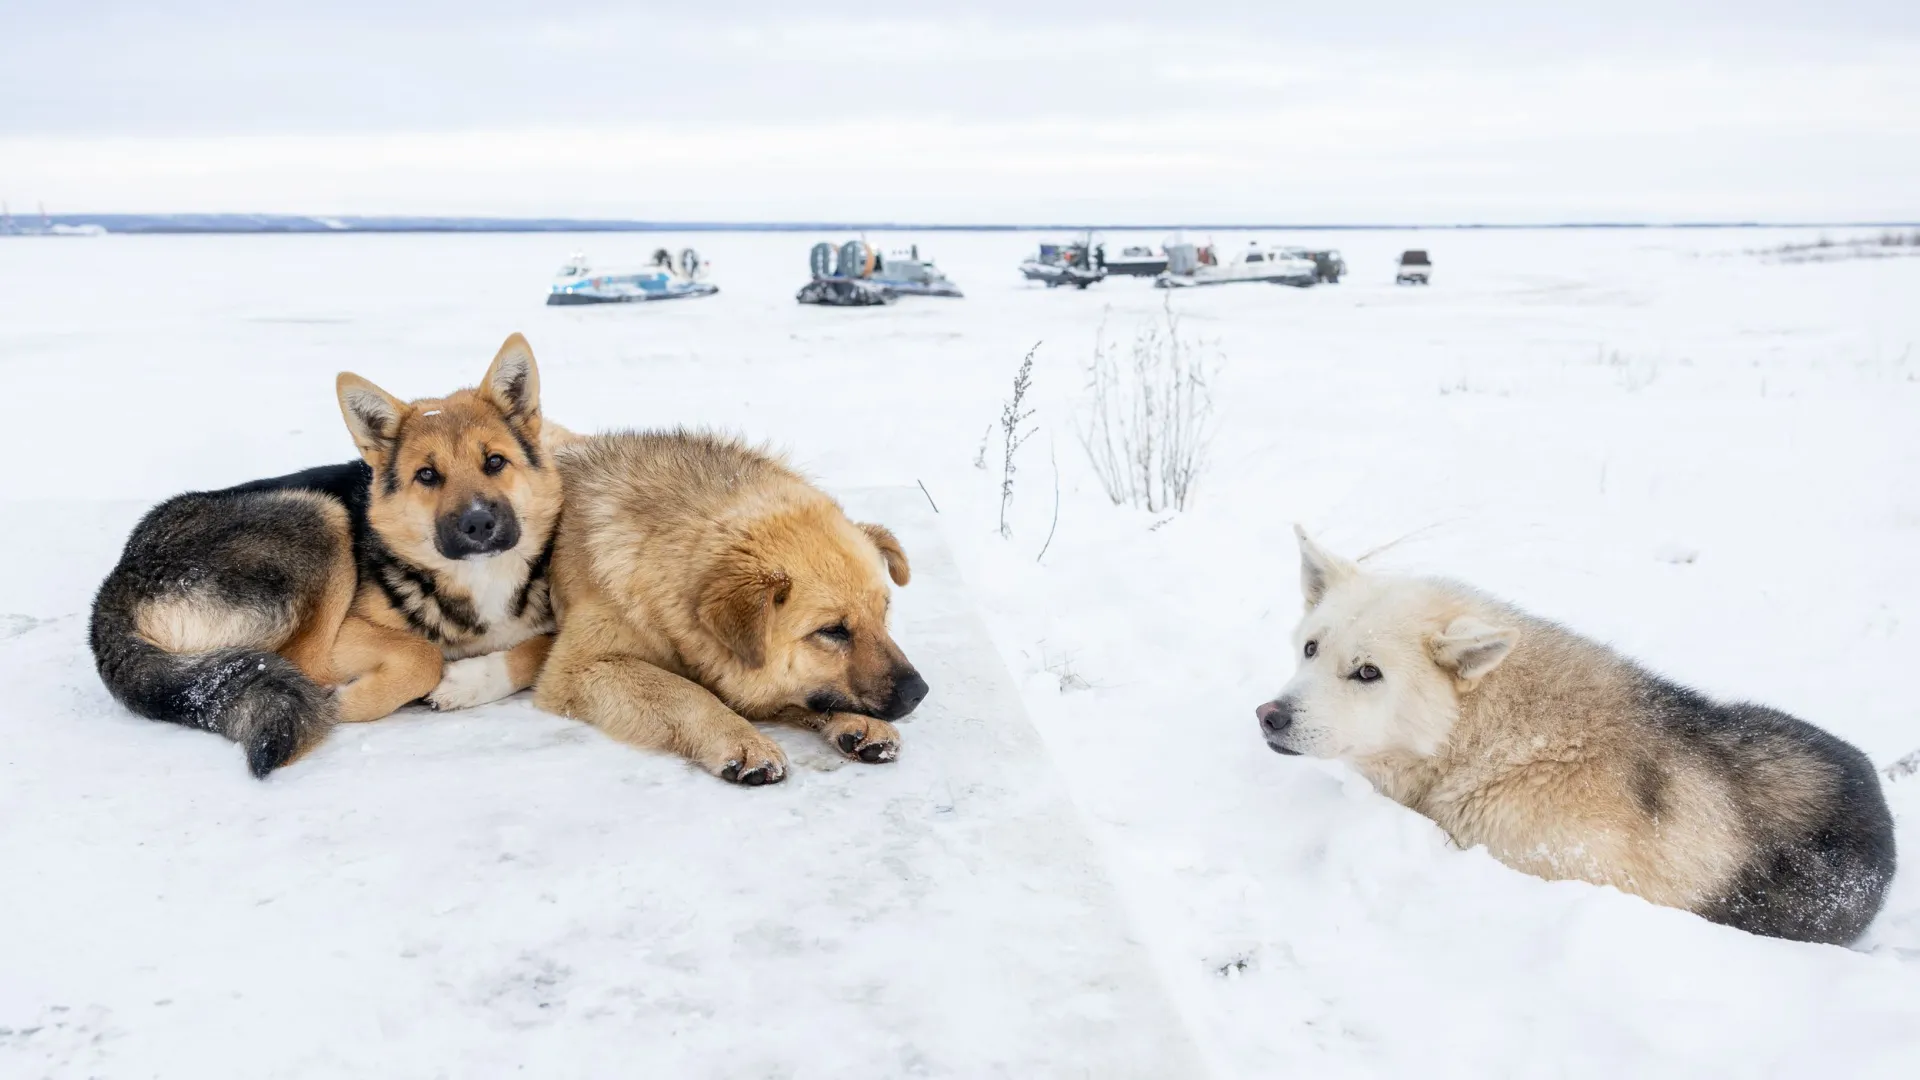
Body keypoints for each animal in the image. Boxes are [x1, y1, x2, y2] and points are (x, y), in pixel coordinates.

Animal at [91, 332, 560, 768]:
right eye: (427, 475)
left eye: (495, 462)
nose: (477, 523)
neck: (479, 580)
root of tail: (115, 587)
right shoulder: (349, 633)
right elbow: (422, 653)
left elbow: (542, 649)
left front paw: (473, 680)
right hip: (319, 515)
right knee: (304, 665)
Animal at [533, 426, 929, 780]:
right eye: (832, 630)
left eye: (883, 613)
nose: (918, 693)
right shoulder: (580, 667)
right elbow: (686, 692)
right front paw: (741, 739)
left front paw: (858, 721)